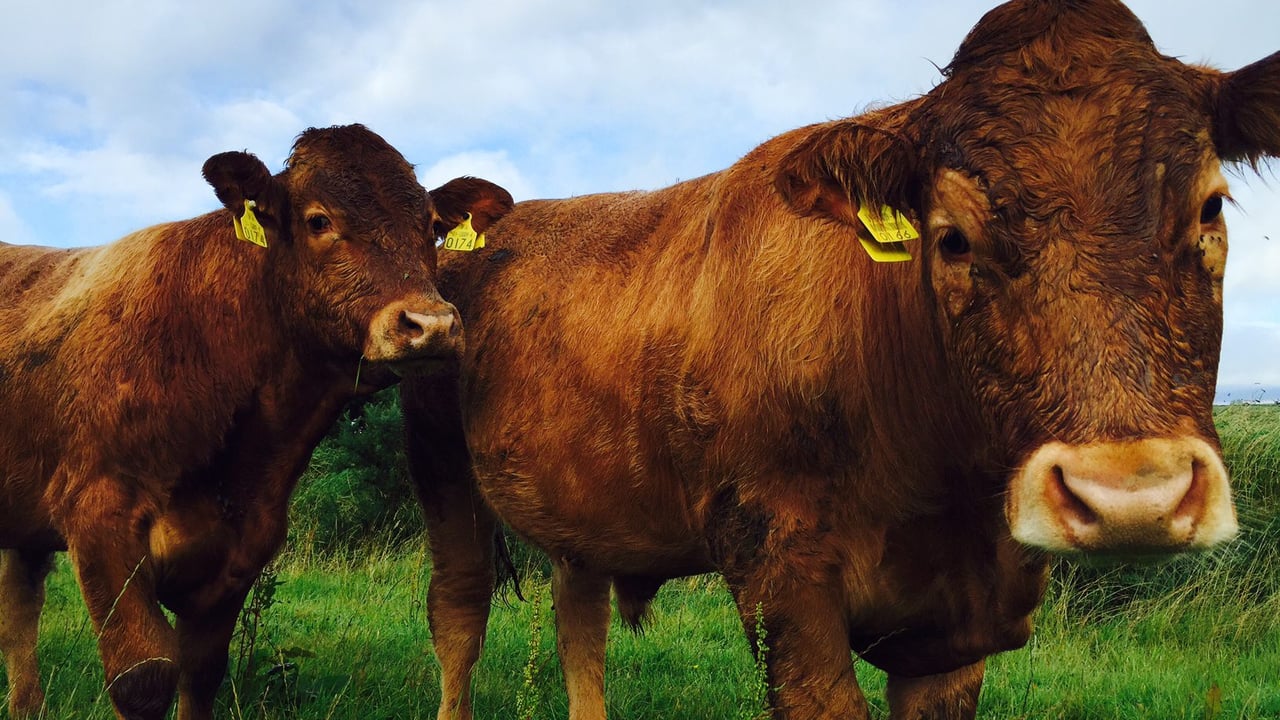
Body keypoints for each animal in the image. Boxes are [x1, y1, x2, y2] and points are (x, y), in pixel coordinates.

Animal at [0, 124, 513, 720]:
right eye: (318, 220)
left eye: (432, 228)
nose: (431, 324)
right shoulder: (99, 514)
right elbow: (143, 679)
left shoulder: (241, 551)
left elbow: (200, 675)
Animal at [402, 1, 1279, 718]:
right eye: (951, 237)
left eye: (1210, 208)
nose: (1133, 496)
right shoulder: (780, 577)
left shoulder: (953, 632)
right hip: (441, 466)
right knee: (459, 612)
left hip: (583, 504)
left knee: (577, 620)